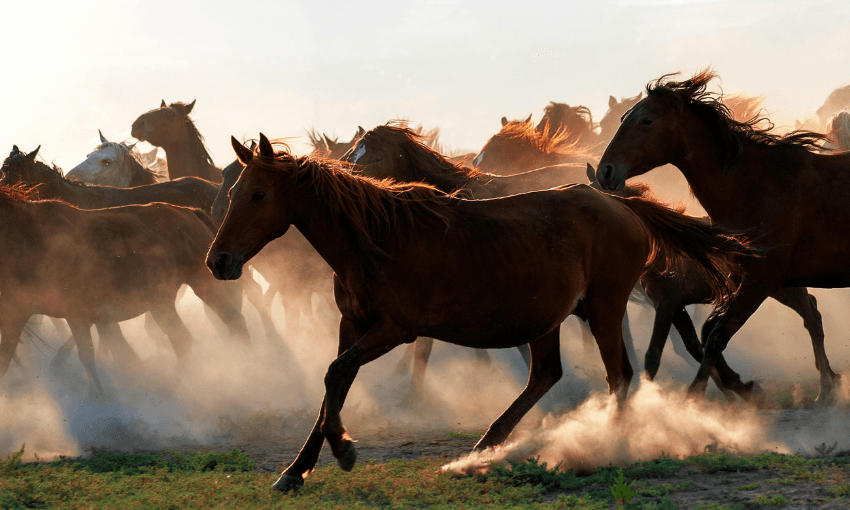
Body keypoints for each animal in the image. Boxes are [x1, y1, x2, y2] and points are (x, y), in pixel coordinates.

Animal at [207, 133, 753, 491]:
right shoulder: (352, 326)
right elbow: (332, 385)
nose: (219, 261)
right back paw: (486, 447)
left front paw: (343, 451)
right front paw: (295, 470)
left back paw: (607, 445)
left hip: (602, 309)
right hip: (549, 318)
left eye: (258, 194)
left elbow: (336, 375)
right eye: (234, 192)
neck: (377, 240)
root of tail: (620, 205)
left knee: (618, 375)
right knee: (547, 374)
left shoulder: (394, 330)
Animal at [595, 69, 847, 402]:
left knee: (811, 315)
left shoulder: (756, 282)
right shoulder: (735, 284)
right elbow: (706, 336)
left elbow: (713, 337)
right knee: (811, 314)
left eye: (646, 120)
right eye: (623, 117)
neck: (758, 186)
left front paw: (696, 399)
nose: (606, 171)